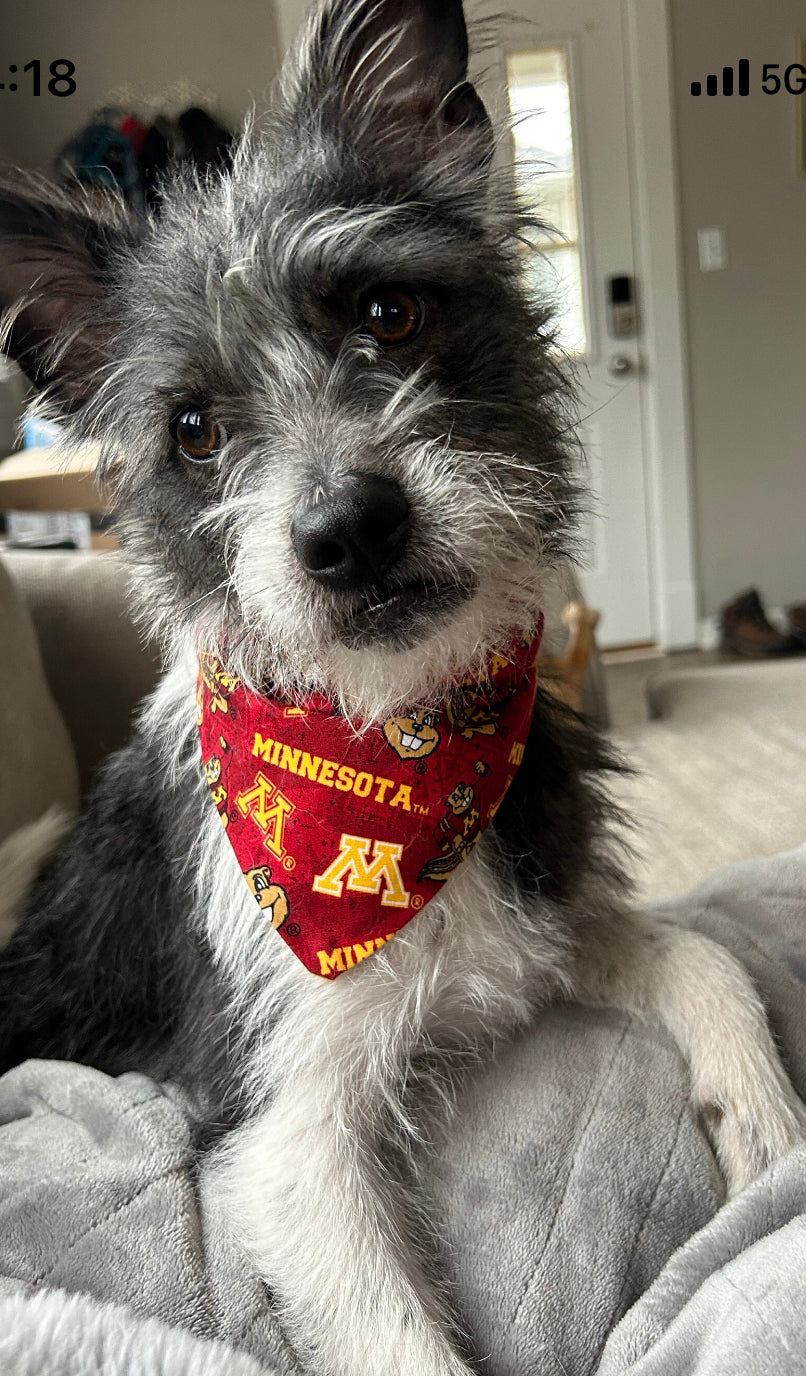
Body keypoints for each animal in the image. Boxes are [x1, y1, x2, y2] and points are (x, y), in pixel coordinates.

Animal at [1, 2, 803, 1376]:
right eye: (194, 428)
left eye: (388, 309)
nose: (349, 531)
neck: (397, 735)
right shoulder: (278, 1134)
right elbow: (391, 1334)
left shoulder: (541, 922)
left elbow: (698, 947)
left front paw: (763, 1120)